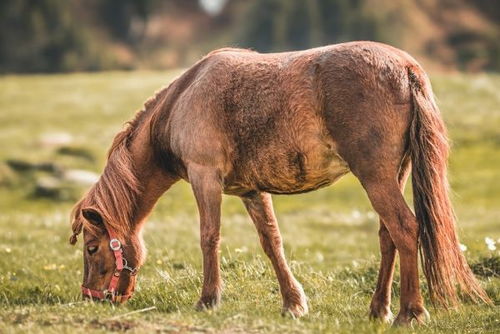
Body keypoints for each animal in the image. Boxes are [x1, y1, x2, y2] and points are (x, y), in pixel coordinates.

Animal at [68, 40, 490, 324]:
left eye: (92, 248)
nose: (93, 298)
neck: (184, 100)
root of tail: (405, 68)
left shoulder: (205, 178)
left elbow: (209, 237)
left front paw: (208, 300)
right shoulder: (251, 191)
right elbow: (272, 243)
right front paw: (293, 303)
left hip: (376, 177)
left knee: (405, 229)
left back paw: (410, 312)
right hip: (393, 175)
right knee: (389, 236)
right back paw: (378, 310)